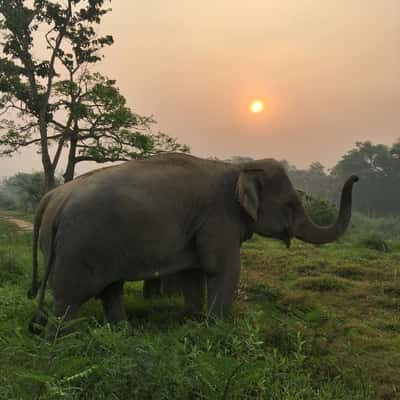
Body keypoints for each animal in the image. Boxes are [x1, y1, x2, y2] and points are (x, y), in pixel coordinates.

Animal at [28, 152, 360, 332]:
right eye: (291, 204)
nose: (355, 177)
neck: (240, 168)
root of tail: (54, 200)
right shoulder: (219, 217)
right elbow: (222, 270)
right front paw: (216, 329)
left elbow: (192, 273)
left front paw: (190, 321)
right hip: (79, 248)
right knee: (69, 300)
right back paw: (60, 344)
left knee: (110, 290)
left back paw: (119, 333)